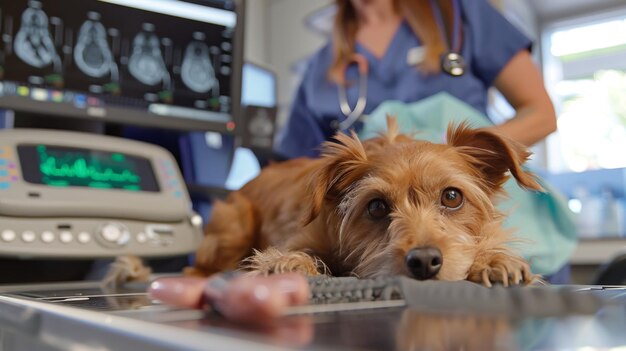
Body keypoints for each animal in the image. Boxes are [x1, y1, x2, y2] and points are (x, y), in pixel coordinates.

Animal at [184, 117, 536, 286]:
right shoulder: (301, 237)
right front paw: (289, 264)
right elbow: (294, 253)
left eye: (452, 197)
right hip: (235, 226)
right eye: (377, 206)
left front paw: (492, 260)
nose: (424, 261)